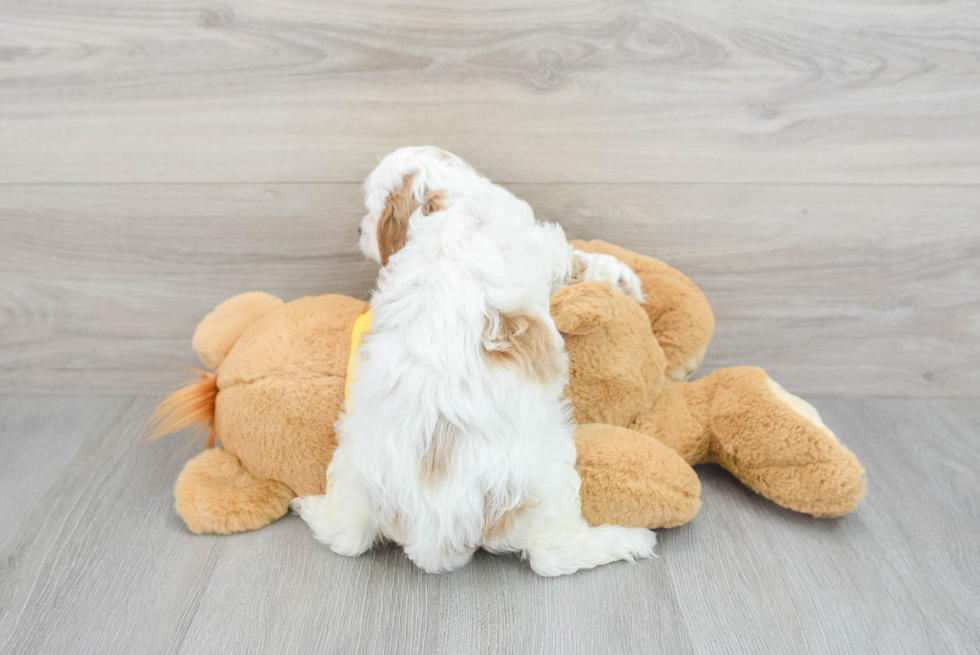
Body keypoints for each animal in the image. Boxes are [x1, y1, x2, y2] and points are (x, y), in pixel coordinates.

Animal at [292, 147, 660, 576]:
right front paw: (624, 280)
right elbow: (580, 261)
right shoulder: (544, 246)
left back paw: (308, 505)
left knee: (345, 537)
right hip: (546, 477)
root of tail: (434, 533)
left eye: (372, 208)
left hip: (351, 467)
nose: (357, 230)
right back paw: (629, 540)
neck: (448, 204)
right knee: (554, 556)